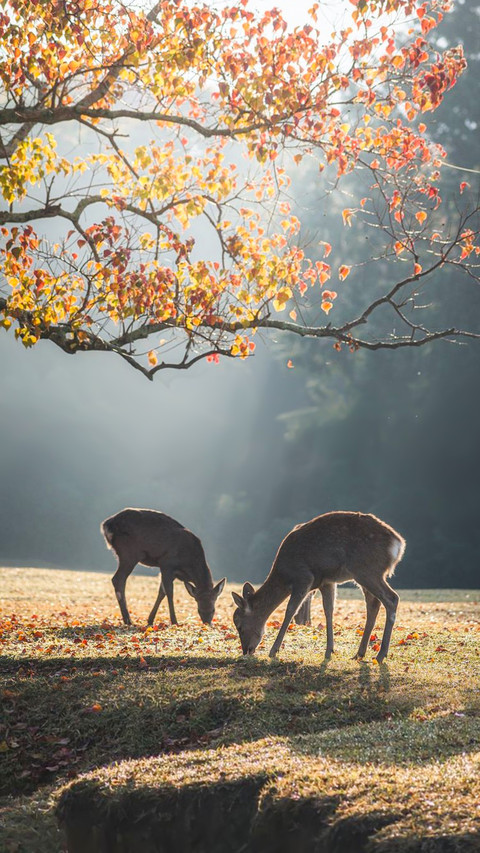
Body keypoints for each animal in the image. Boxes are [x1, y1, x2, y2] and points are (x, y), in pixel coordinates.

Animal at [232, 511, 405, 663]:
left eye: (239, 626)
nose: (246, 650)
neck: (284, 574)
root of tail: (398, 544)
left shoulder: (304, 578)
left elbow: (290, 611)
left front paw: (273, 651)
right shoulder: (326, 581)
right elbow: (328, 610)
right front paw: (329, 651)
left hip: (367, 570)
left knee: (392, 598)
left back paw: (380, 655)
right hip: (366, 574)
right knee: (373, 604)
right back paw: (359, 654)